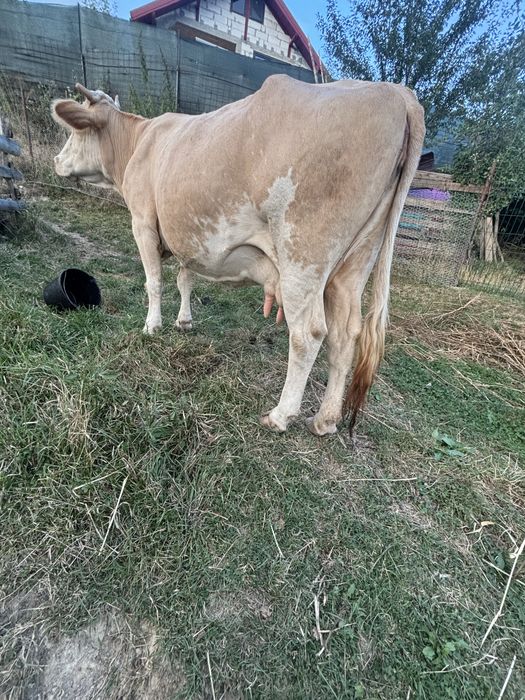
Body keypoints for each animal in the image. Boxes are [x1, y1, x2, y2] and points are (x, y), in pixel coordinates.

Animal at [52, 77, 425, 436]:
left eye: (74, 132)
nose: (56, 161)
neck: (138, 141)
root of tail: (395, 93)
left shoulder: (142, 222)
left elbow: (154, 281)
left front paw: (151, 326)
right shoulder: (187, 235)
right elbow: (185, 277)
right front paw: (183, 321)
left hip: (303, 253)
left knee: (308, 333)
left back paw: (280, 415)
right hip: (356, 261)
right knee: (345, 335)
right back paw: (325, 420)